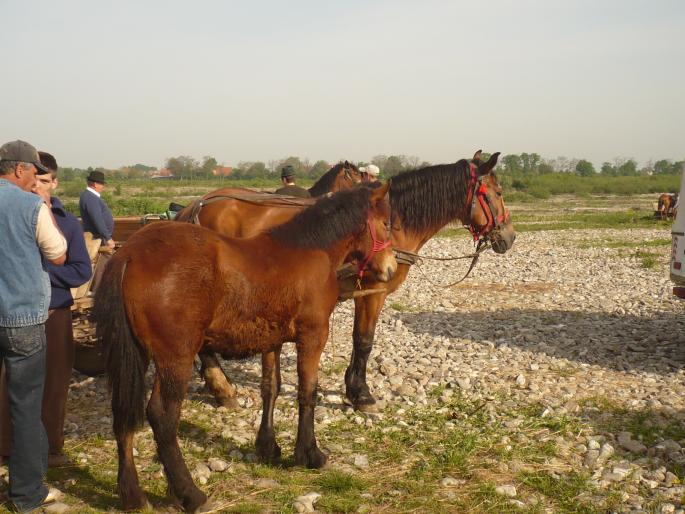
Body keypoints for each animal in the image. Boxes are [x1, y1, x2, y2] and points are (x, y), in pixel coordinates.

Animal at [94, 183, 398, 508]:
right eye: (386, 223)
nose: (391, 268)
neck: (310, 250)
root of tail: (129, 254)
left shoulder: (272, 341)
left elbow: (271, 388)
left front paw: (268, 447)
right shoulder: (313, 335)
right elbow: (307, 393)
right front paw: (309, 454)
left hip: (135, 356)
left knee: (123, 414)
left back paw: (132, 495)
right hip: (176, 358)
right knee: (162, 416)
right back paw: (190, 493)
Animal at [176, 149, 512, 408]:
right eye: (497, 193)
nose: (509, 237)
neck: (393, 223)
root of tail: (195, 205)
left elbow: (359, 340)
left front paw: (352, 388)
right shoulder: (374, 291)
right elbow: (364, 341)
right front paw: (361, 394)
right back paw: (222, 388)